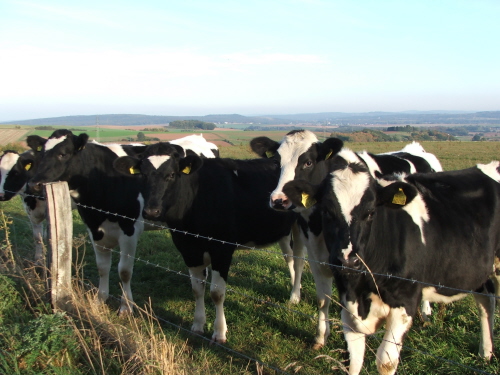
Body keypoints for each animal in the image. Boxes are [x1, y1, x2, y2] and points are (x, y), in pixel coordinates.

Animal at [26, 129, 219, 314]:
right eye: (42, 154)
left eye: (63, 154)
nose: (34, 184)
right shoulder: (94, 229)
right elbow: (102, 267)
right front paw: (99, 300)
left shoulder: (129, 230)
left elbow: (124, 271)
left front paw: (126, 307)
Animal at [113, 142, 302, 346]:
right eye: (143, 174)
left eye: (171, 174)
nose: (151, 211)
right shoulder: (188, 248)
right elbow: (197, 289)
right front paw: (197, 325)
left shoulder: (222, 249)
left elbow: (217, 293)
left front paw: (219, 332)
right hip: (284, 231)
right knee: (290, 257)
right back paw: (294, 290)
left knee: (299, 260)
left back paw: (295, 295)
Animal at [252, 131, 444, 348]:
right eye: (277, 162)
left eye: (308, 162)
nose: (279, 200)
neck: (319, 223)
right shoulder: (315, 249)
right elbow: (322, 298)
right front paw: (321, 336)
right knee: (296, 259)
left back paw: (426, 312)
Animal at [286, 154, 500, 374]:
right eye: (327, 211)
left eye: (371, 212)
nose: (347, 260)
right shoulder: (348, 302)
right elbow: (353, 360)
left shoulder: (405, 302)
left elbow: (386, 361)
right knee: (486, 300)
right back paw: (485, 353)